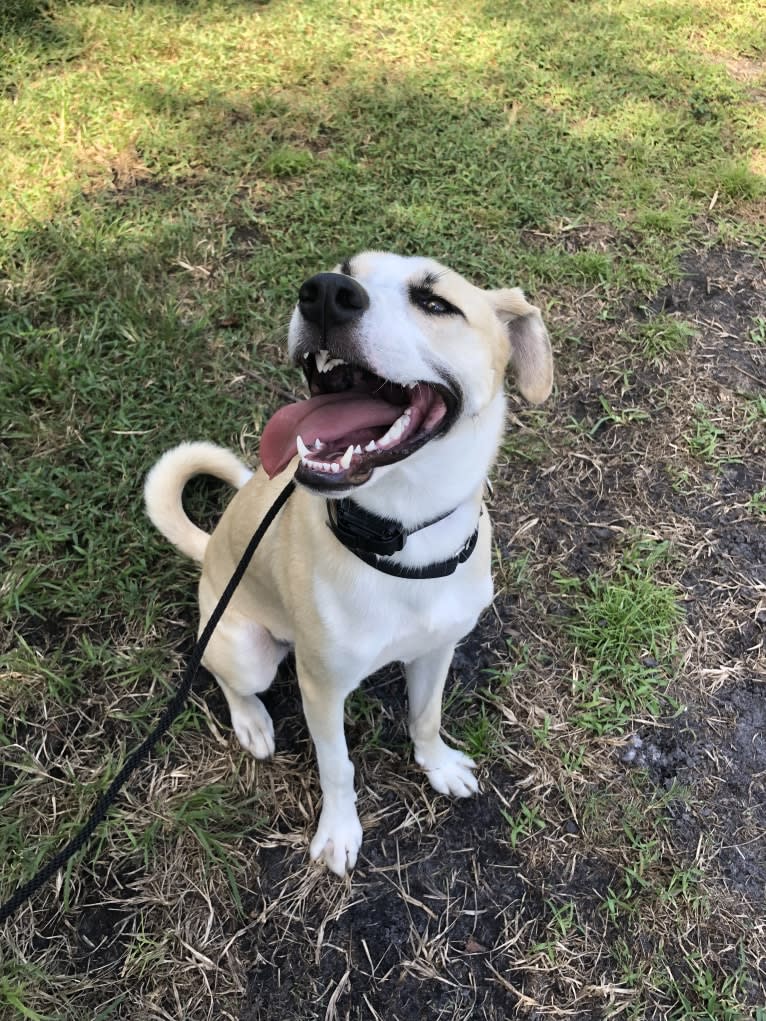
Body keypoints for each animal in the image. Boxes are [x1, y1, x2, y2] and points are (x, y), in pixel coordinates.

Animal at [144, 251, 551, 873]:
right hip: (247, 650)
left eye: (435, 302)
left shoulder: (438, 648)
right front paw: (338, 832)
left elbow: (426, 717)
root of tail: (210, 549)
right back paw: (252, 723)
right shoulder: (321, 688)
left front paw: (438, 766)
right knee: (220, 673)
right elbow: (337, 767)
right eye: (346, 269)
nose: (325, 293)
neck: (400, 540)